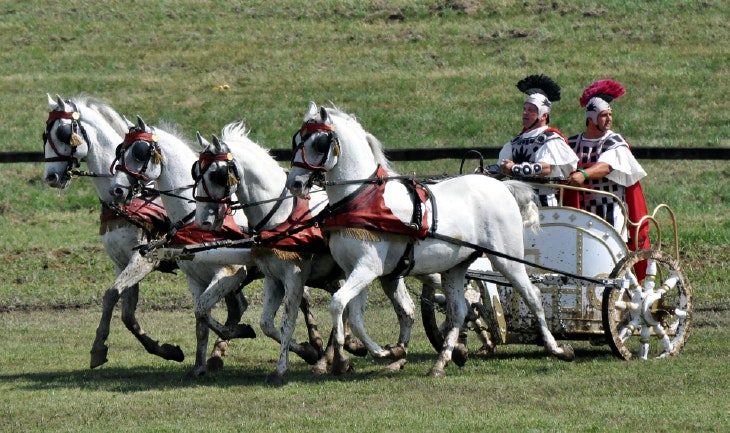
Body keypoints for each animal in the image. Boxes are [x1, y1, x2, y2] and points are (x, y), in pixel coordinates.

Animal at [42, 93, 247, 366]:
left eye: (64, 133)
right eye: (45, 134)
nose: (51, 177)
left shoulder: (143, 259)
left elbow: (111, 294)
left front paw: (98, 347)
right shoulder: (120, 262)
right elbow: (127, 313)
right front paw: (165, 350)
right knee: (238, 306)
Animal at [106, 115, 258, 374]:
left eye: (139, 152)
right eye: (119, 150)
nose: (116, 190)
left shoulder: (231, 272)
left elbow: (205, 313)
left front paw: (239, 332)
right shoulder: (195, 278)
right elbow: (201, 320)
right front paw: (199, 366)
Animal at [191, 121, 416, 382]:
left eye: (216, 174)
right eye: (196, 172)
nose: (203, 220)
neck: (282, 214)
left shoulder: (294, 276)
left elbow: (287, 322)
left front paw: (282, 369)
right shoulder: (273, 278)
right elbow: (267, 324)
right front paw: (308, 351)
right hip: (386, 273)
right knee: (404, 310)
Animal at [286, 103, 576, 376]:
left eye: (318, 143)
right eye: (296, 140)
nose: (295, 185)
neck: (360, 198)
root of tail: (501, 185)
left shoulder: (368, 268)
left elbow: (338, 304)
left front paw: (361, 355)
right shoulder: (355, 270)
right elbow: (353, 316)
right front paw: (384, 352)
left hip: (506, 259)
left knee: (532, 295)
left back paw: (557, 349)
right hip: (455, 267)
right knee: (459, 310)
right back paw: (442, 361)